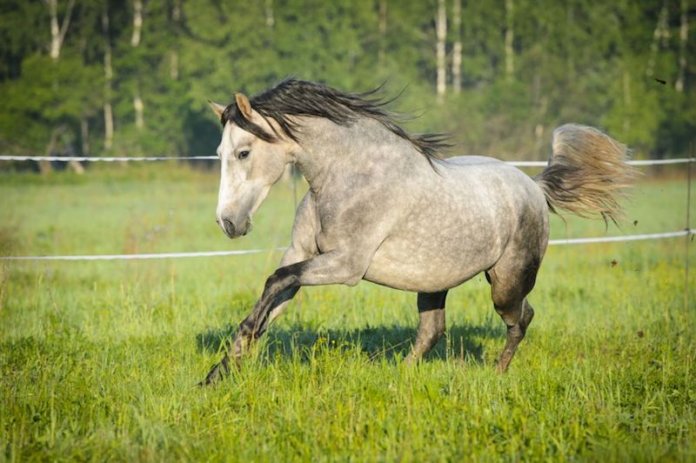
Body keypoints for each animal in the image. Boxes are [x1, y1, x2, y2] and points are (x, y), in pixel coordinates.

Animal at [201, 79, 636, 384]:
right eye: (220, 154)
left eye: (243, 152)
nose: (228, 223)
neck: (350, 177)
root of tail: (534, 186)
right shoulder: (301, 254)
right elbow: (273, 294)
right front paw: (218, 373)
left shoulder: (346, 266)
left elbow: (276, 282)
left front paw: (233, 356)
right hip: (433, 282)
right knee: (432, 331)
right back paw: (401, 375)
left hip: (506, 283)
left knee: (521, 318)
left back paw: (497, 374)